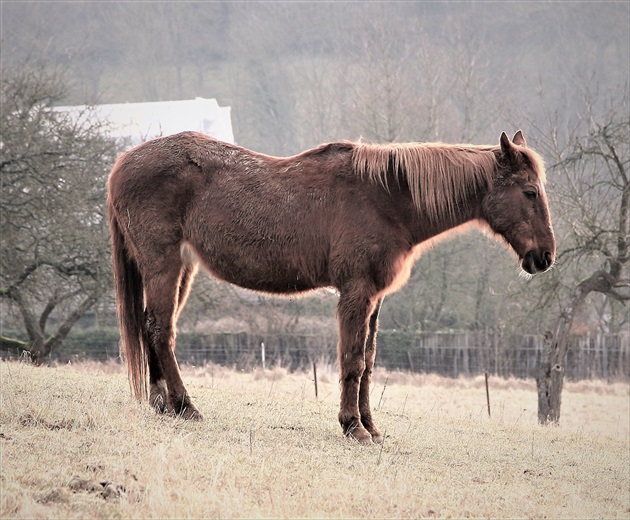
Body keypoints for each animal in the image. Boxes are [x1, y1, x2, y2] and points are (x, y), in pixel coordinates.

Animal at [108, 129, 556, 442]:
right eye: (530, 192)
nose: (545, 257)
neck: (387, 198)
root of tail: (124, 162)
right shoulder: (355, 293)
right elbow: (352, 361)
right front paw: (352, 427)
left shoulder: (375, 298)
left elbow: (369, 363)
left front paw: (371, 427)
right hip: (164, 265)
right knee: (160, 330)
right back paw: (185, 406)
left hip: (182, 268)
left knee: (151, 327)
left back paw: (162, 404)